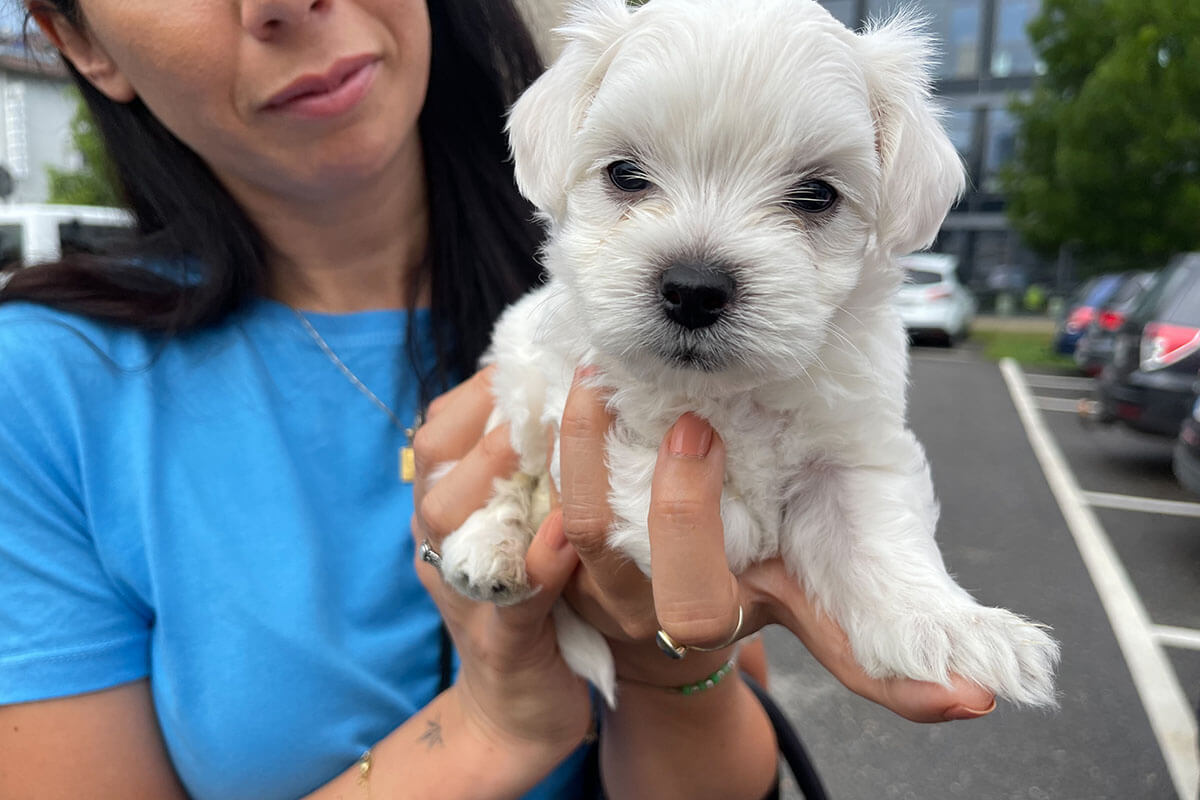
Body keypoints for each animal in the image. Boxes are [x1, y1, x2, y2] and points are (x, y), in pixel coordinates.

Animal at [436, 0, 1056, 714]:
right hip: (520, 381)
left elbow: (876, 533)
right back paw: (487, 545)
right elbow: (682, 500)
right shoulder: (572, 405)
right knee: (514, 471)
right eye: (625, 174)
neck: (727, 392)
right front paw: (749, 525)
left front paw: (954, 628)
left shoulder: (853, 449)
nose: (693, 287)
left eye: (816, 195)